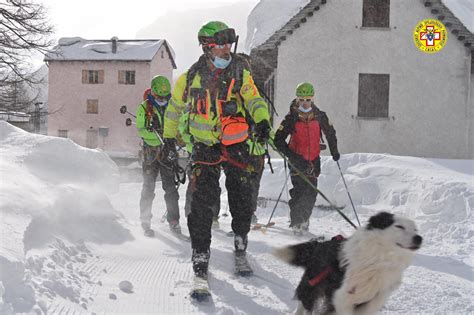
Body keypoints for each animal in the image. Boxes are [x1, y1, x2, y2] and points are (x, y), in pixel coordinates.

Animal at [274, 212, 422, 315]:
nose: (419, 238)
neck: (379, 259)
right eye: (399, 226)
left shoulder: (379, 292)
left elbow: (372, 305)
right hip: (313, 282)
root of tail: (320, 244)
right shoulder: (341, 295)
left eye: (415, 229)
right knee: (304, 300)